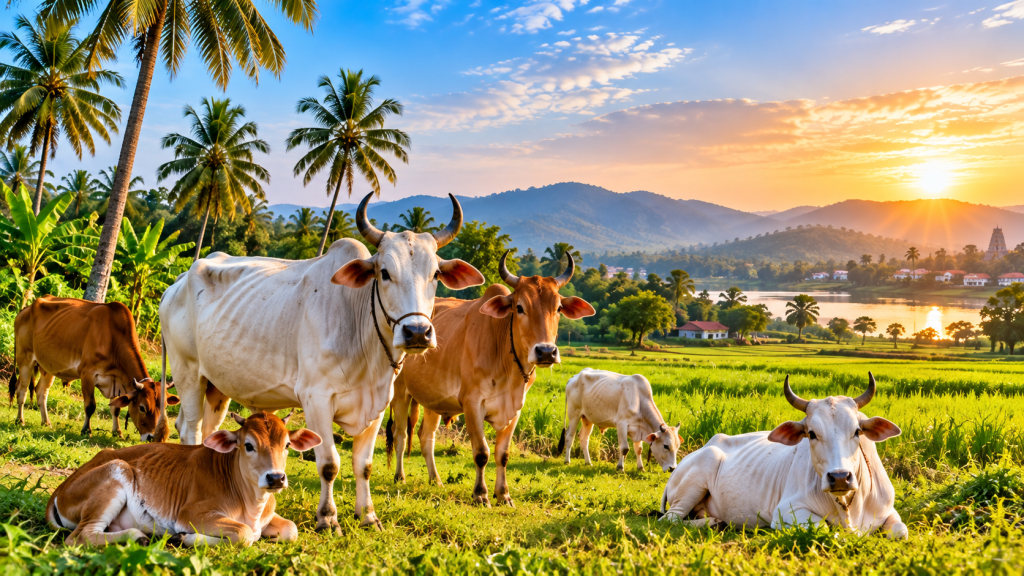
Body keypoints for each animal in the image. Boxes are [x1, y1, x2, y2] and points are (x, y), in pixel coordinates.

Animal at [9, 296, 179, 441]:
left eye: (164, 407)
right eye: (142, 407)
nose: (153, 437)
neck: (113, 338)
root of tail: (25, 309)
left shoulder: (117, 381)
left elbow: (115, 408)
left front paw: (117, 432)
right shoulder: (87, 374)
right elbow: (90, 406)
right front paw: (86, 430)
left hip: (48, 367)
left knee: (41, 391)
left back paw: (46, 422)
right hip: (24, 359)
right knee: (21, 390)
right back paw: (20, 420)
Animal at [46, 410, 321, 547]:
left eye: (287, 445)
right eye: (249, 445)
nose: (275, 478)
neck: (252, 504)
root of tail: (58, 491)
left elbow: (291, 529)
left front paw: (183, 538)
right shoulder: (191, 514)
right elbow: (245, 535)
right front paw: (185, 537)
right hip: (116, 471)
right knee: (80, 537)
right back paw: (138, 537)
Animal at [159, 193, 484, 533]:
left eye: (435, 275)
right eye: (384, 272)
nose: (417, 332)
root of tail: (177, 281)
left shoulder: (379, 404)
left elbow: (364, 465)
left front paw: (368, 515)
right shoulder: (316, 399)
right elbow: (329, 464)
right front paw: (328, 518)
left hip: (217, 386)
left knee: (207, 431)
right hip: (188, 372)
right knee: (191, 429)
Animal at [386, 250, 595, 506]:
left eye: (558, 308)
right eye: (519, 307)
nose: (546, 352)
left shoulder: (515, 409)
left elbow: (502, 454)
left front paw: (503, 494)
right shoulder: (472, 404)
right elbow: (482, 453)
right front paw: (481, 494)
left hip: (432, 401)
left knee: (426, 437)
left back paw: (435, 480)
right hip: (400, 392)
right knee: (400, 434)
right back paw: (400, 476)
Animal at [660, 374, 908, 539]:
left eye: (857, 431)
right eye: (811, 434)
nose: (839, 477)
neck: (848, 504)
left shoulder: (889, 511)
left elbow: (900, 531)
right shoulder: (787, 511)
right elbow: (825, 528)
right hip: (696, 479)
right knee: (670, 519)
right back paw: (713, 523)